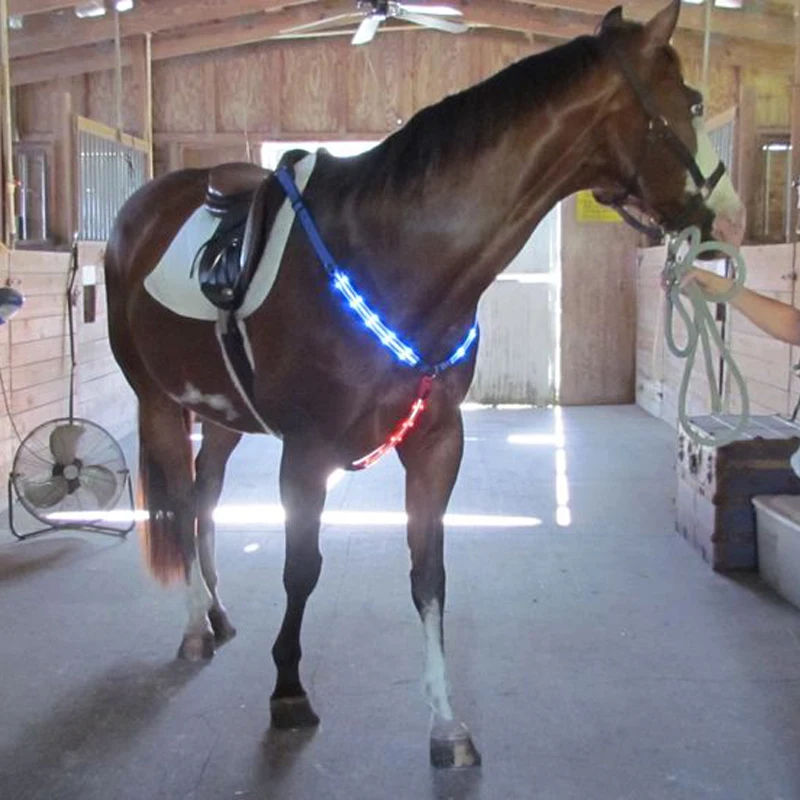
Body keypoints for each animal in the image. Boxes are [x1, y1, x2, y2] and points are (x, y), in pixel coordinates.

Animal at [104, 0, 744, 768]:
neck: (394, 255)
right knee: (175, 501)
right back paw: (196, 627)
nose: (731, 213)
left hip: (225, 414)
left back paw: (219, 613)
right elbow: (301, 569)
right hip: (159, 404)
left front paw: (445, 723)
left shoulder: (438, 441)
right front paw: (288, 692)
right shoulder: (307, 454)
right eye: (694, 101)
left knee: (203, 498)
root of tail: (140, 211)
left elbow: (429, 575)